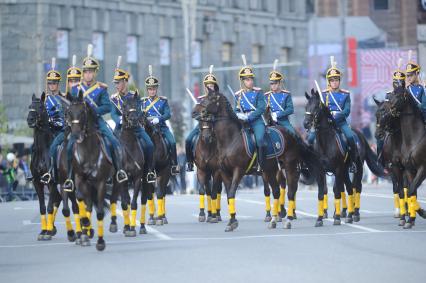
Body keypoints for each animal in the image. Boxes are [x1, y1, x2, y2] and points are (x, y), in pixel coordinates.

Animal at [304, 89, 384, 226]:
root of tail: (360, 135)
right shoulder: (321, 171)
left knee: (356, 187)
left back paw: (355, 214)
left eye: (316, 107)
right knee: (349, 188)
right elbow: (322, 192)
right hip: (345, 171)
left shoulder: (337, 169)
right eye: (306, 107)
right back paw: (349, 214)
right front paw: (319, 218)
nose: (306, 124)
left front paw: (336, 217)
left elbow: (337, 191)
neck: (326, 142)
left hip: (357, 168)